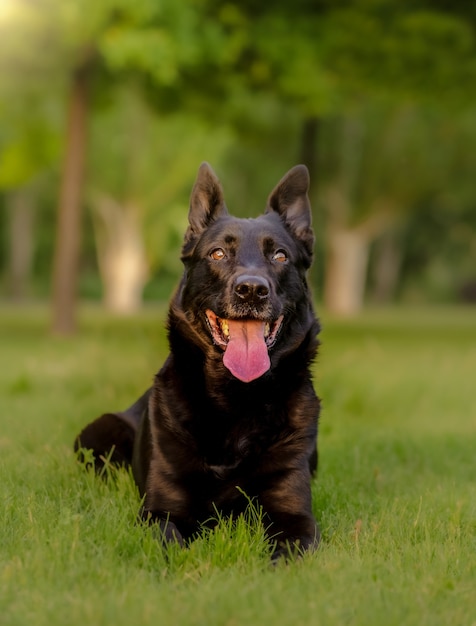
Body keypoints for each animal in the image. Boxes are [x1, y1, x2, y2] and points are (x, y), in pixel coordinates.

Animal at [76, 162, 322, 556]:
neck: (236, 399)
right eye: (218, 254)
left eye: (280, 256)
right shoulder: (161, 512)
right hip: (100, 434)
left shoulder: (295, 514)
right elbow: (173, 545)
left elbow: (288, 551)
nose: (251, 290)